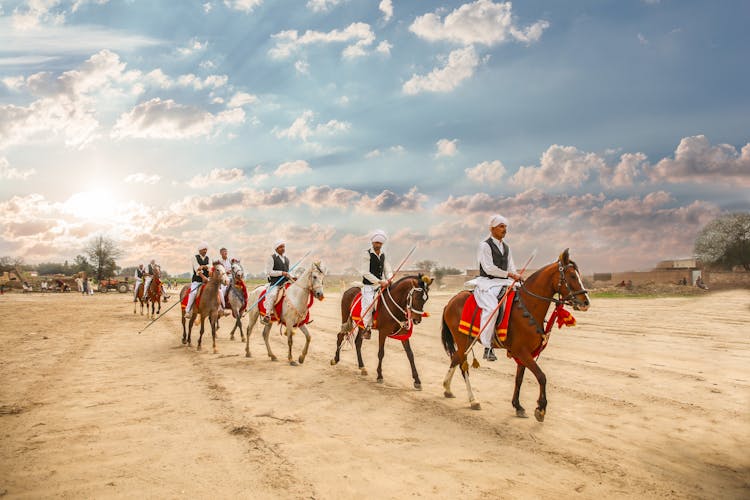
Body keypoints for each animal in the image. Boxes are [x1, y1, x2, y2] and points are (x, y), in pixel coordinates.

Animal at [440, 250, 592, 422]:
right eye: (572, 276)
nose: (586, 302)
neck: (528, 308)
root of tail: (450, 302)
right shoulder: (522, 352)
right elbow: (541, 376)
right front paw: (541, 409)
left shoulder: (525, 353)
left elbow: (519, 379)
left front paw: (518, 406)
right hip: (462, 340)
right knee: (462, 364)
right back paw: (473, 400)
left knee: (456, 359)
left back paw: (448, 389)